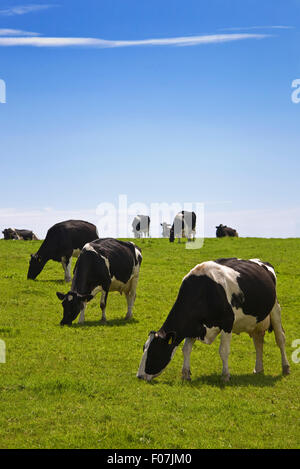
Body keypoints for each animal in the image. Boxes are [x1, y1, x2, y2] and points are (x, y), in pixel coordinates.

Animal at [137, 258, 290, 382]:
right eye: (144, 348)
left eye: (154, 352)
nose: (139, 376)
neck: (204, 291)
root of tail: (262, 262)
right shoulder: (194, 325)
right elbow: (186, 349)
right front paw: (186, 374)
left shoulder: (227, 323)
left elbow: (224, 350)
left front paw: (225, 376)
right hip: (256, 321)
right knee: (258, 342)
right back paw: (258, 369)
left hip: (275, 308)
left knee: (280, 338)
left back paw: (286, 367)